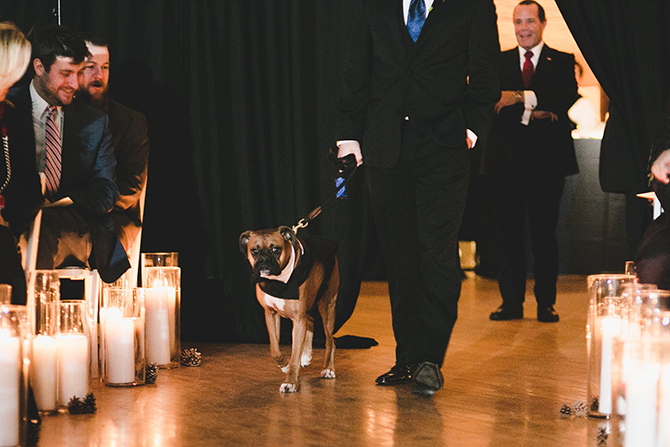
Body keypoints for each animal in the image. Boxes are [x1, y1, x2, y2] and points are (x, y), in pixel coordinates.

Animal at [240, 228, 338, 392]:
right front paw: (285, 364)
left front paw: (290, 381)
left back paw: (328, 369)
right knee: (311, 320)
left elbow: (294, 355)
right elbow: (275, 349)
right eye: (254, 251)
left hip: (327, 306)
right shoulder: (271, 314)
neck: (278, 281)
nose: (264, 259)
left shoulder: (298, 320)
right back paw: (306, 355)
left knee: (330, 341)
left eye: (275, 249)